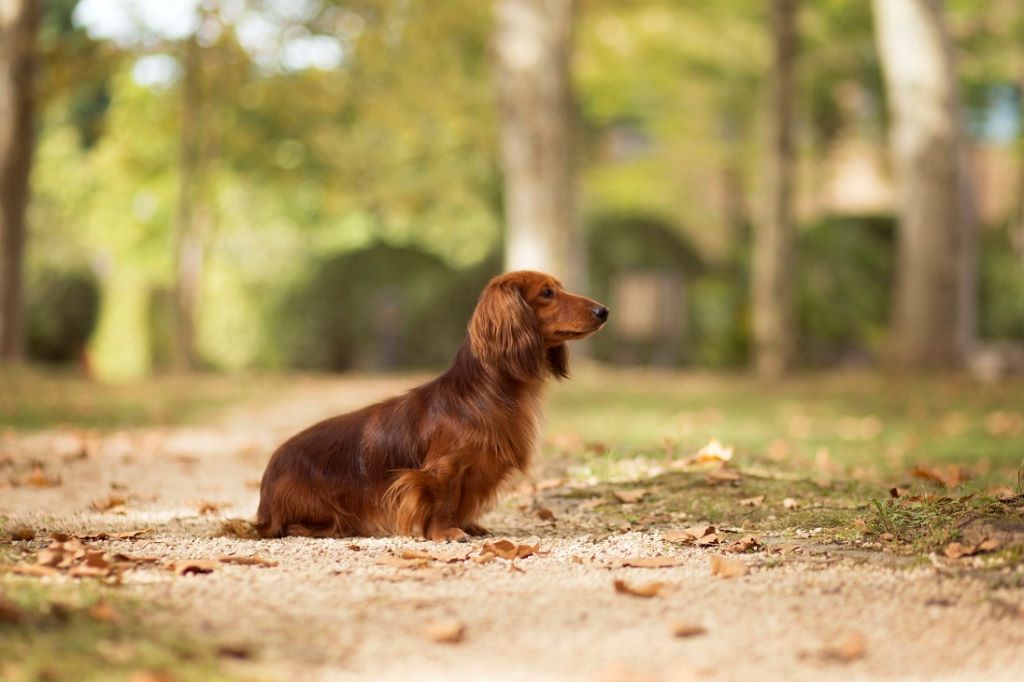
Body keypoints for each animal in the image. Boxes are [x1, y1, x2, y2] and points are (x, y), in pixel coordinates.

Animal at [256, 268, 606, 540]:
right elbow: (444, 501)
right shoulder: (442, 469)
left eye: (559, 287)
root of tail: (266, 491)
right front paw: (445, 532)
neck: (485, 393)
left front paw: (467, 525)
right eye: (547, 293)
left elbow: (464, 502)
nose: (604, 311)